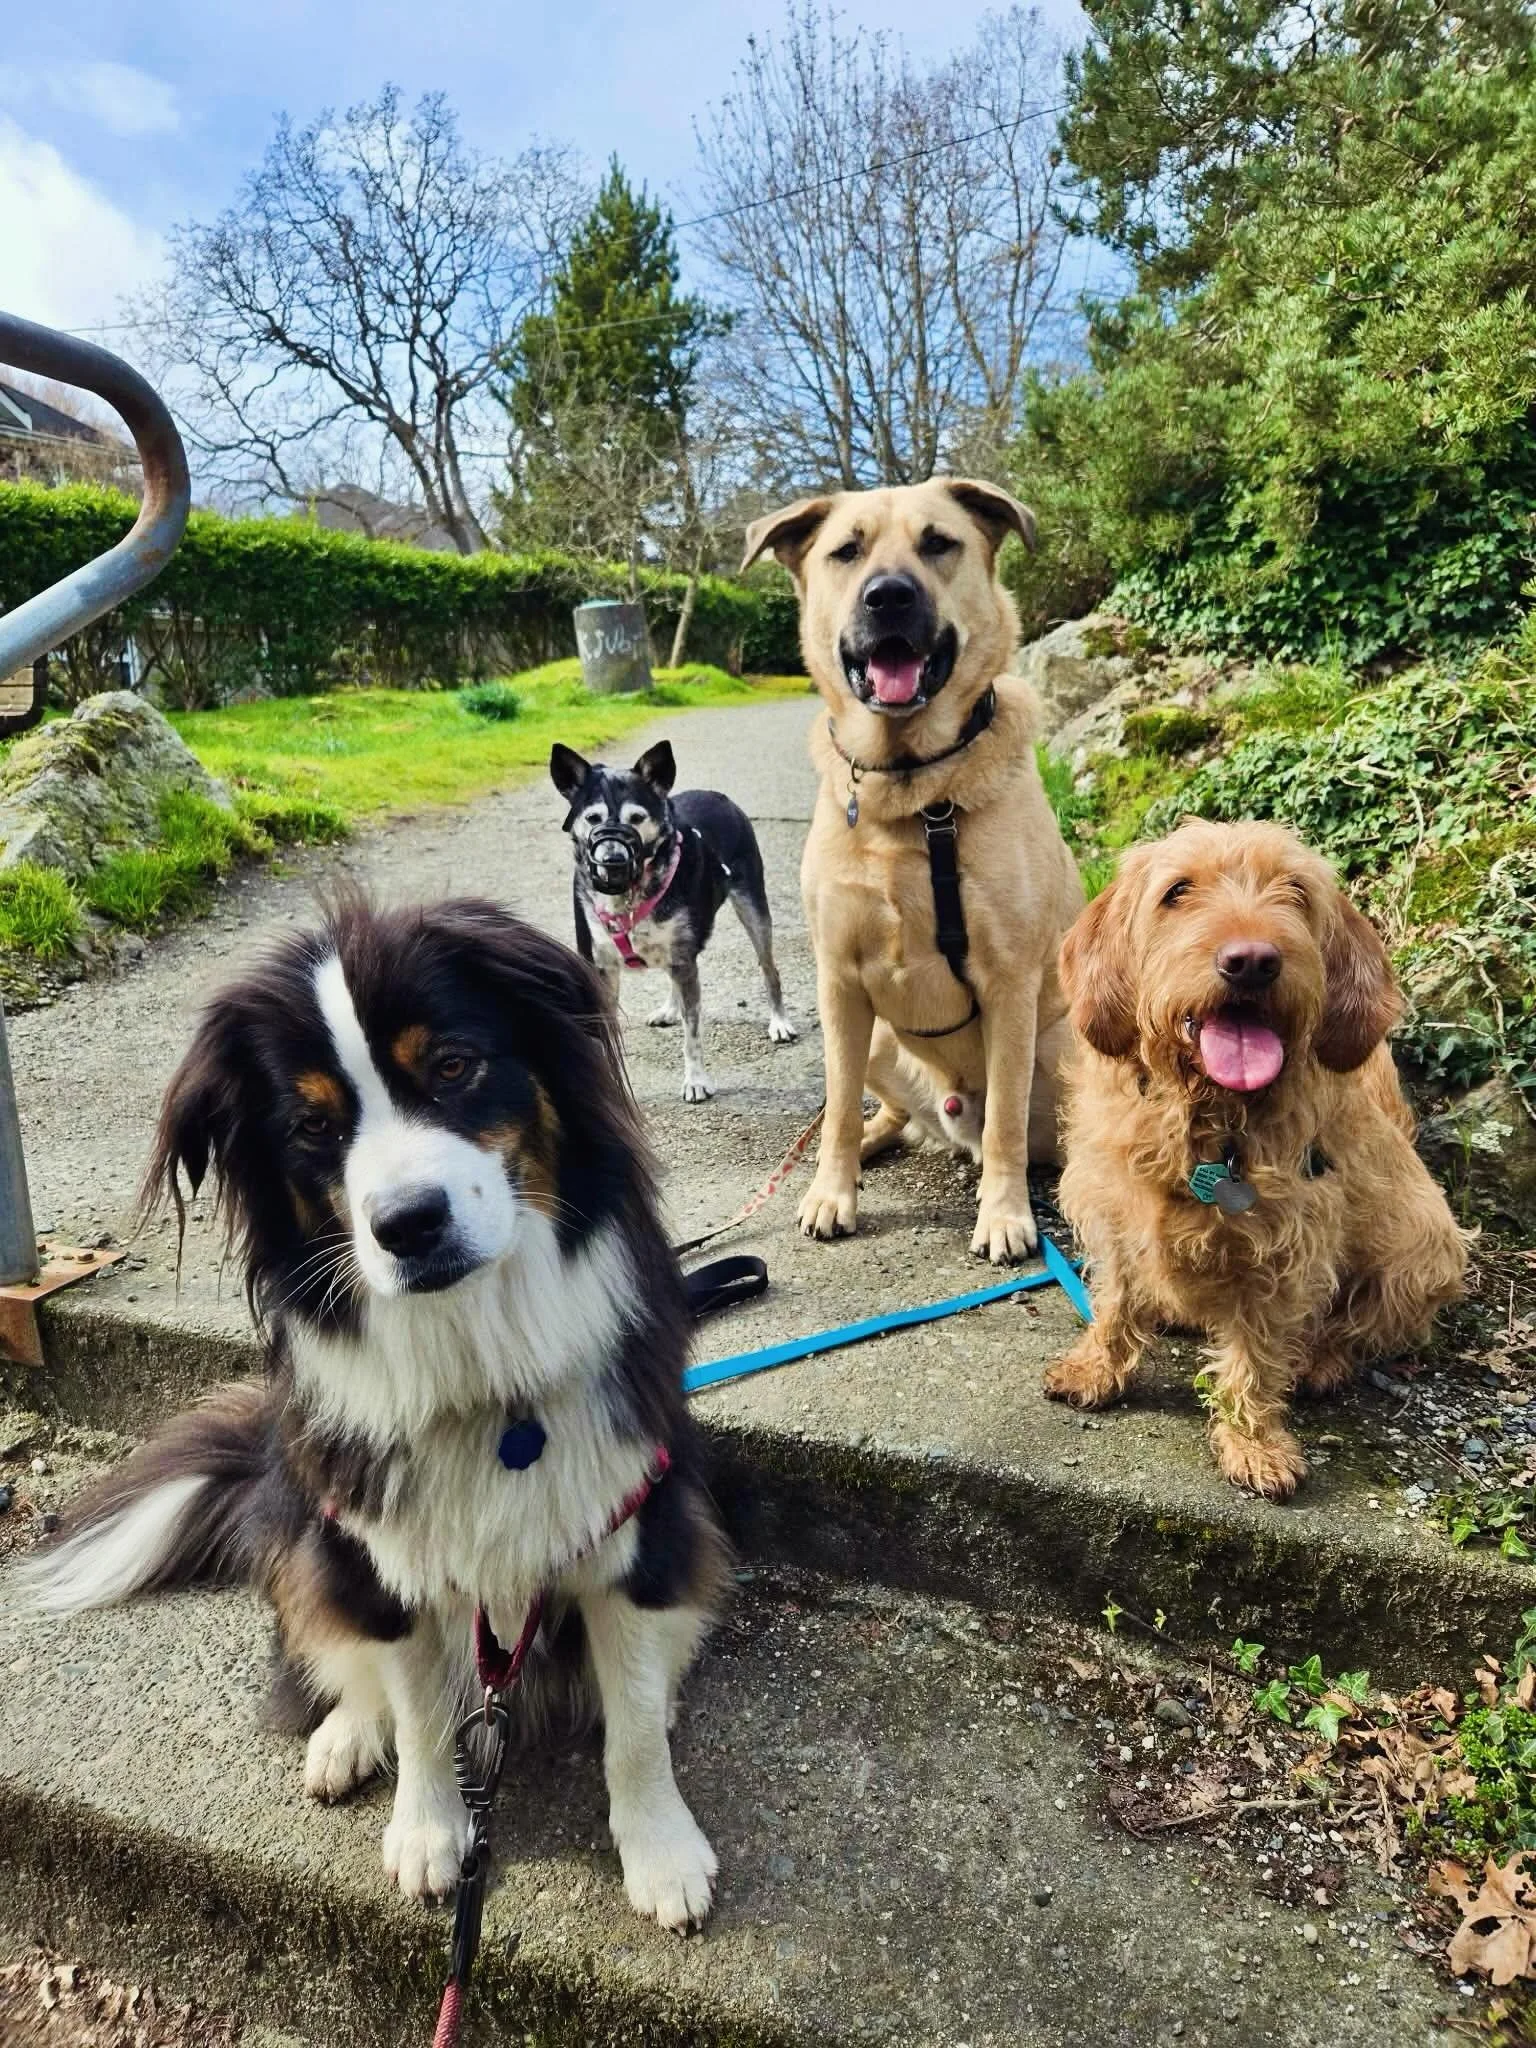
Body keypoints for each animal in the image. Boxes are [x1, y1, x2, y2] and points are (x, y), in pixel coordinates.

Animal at [22, 898, 726, 1929]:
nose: (408, 1226)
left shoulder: (633, 1518)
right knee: (338, 1648)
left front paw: (662, 1852)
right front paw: (429, 1834)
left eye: (454, 1066)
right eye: (313, 1124)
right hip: (311, 1532)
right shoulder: (383, 1547)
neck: (479, 1365)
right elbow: (423, 1711)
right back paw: (345, 1738)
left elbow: (632, 1722)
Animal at [550, 739, 796, 1103]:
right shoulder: (603, 967)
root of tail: (717, 795)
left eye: (637, 818)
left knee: (769, 970)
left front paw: (695, 1080)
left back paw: (779, 1022)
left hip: (753, 909)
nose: (612, 861)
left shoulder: (684, 960)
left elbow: (692, 1035)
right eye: (593, 818)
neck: (629, 895)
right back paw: (669, 1008)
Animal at [741, 478, 1083, 1260]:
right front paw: (832, 1191)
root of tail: (950, 1116)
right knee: (879, 1112)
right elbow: (837, 1107)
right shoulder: (841, 986)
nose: (889, 596)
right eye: (846, 550)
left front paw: (1005, 1215)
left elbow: (1007, 1123)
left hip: (1071, 1052)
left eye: (938, 543)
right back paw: (866, 1147)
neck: (914, 790)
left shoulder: (1010, 987)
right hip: (877, 1040)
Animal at [1045, 820, 1468, 1499]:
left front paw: (1255, 1442)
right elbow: (1114, 1302)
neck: (1210, 1125)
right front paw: (1096, 1368)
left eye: (1295, 892)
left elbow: (1257, 1356)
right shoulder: (1116, 1219)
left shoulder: (1285, 1258)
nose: (1251, 961)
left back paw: (1319, 1360)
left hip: (1423, 1255)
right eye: (1178, 891)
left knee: (1357, 1330)